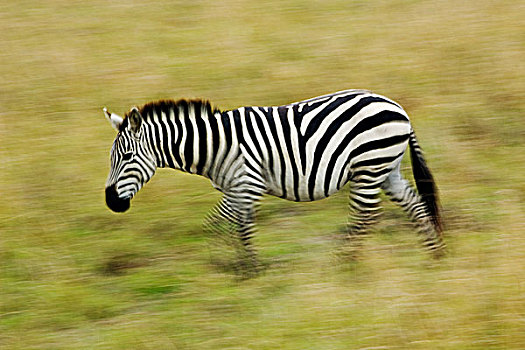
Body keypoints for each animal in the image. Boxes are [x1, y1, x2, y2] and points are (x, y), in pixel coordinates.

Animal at [104, 89, 444, 272]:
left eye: (128, 156)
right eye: (112, 158)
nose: (111, 202)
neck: (215, 145)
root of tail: (397, 107)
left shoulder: (247, 184)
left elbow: (231, 227)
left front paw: (239, 268)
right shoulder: (235, 190)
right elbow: (228, 226)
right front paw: (237, 266)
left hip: (369, 166)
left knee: (365, 216)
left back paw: (345, 263)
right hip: (386, 169)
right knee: (415, 206)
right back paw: (433, 254)